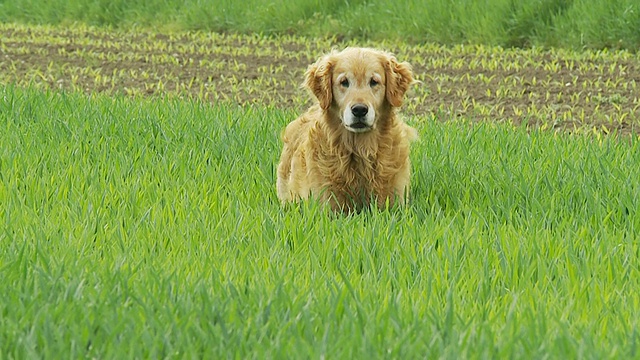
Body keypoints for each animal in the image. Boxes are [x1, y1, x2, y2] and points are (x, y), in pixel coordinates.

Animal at [276, 46, 418, 212]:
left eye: (374, 82)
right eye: (344, 82)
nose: (359, 110)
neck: (359, 150)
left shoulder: (395, 203)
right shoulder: (326, 204)